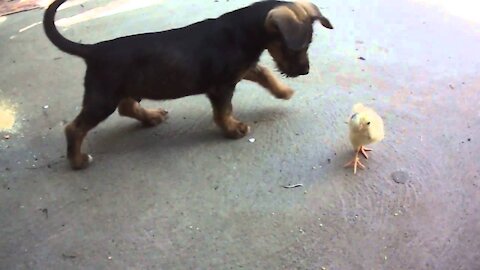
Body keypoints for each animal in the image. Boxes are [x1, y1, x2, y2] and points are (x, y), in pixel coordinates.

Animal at [43, 0, 332, 170]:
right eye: (297, 47)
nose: (305, 71)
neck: (243, 31)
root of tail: (93, 51)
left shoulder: (243, 68)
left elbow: (265, 75)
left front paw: (283, 91)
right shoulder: (221, 86)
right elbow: (224, 111)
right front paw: (233, 129)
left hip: (125, 89)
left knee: (127, 108)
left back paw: (151, 117)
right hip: (103, 98)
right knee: (74, 128)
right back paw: (77, 160)